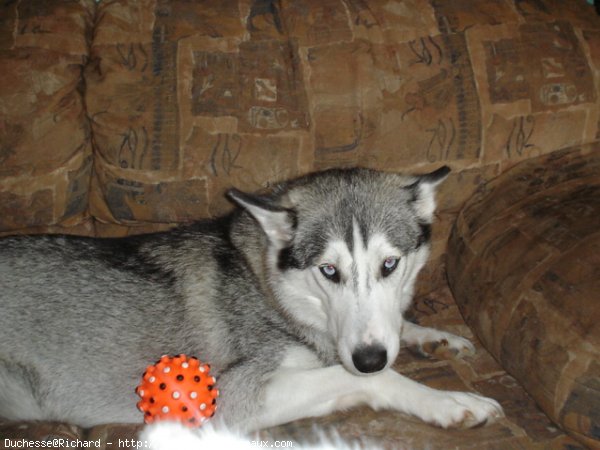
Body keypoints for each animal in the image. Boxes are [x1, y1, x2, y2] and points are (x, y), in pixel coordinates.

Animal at [0, 166, 504, 432]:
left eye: (389, 264)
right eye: (329, 270)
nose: (369, 358)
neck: (272, 293)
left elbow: (396, 330)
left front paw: (434, 337)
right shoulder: (231, 396)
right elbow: (366, 380)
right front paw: (448, 400)